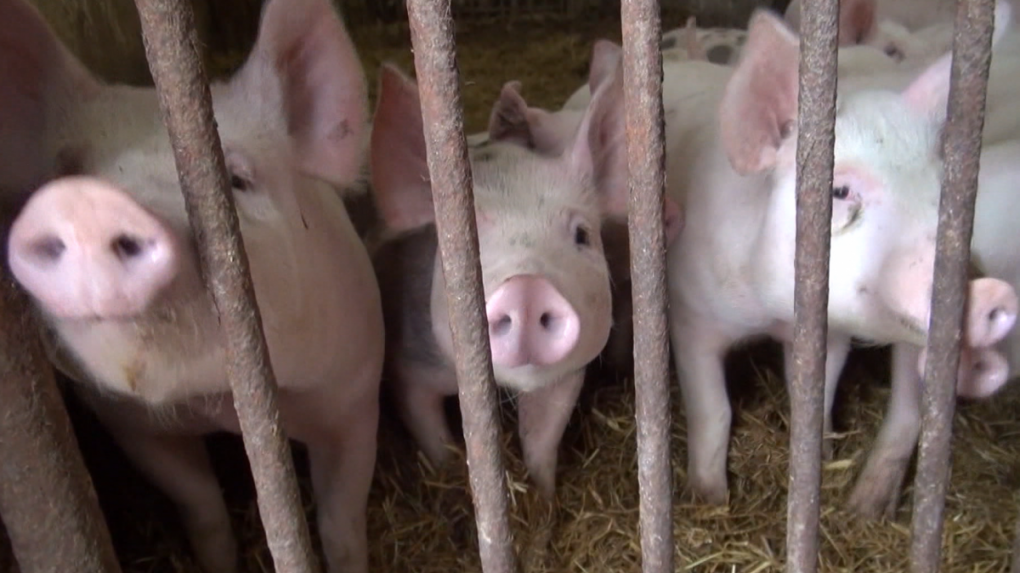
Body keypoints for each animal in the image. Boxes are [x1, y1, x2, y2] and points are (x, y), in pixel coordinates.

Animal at [1, 1, 383, 570]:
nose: (85, 201)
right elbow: (202, 510)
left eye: (235, 180)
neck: (216, 400)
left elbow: (342, 522)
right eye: (64, 171)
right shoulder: (134, 426)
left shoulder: (353, 396)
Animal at [367, 59, 677, 495]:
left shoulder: (567, 375)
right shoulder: (407, 363)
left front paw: (544, 500)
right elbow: (434, 435)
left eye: (582, 235)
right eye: (464, 245)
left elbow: (541, 442)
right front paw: (449, 473)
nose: (528, 289)